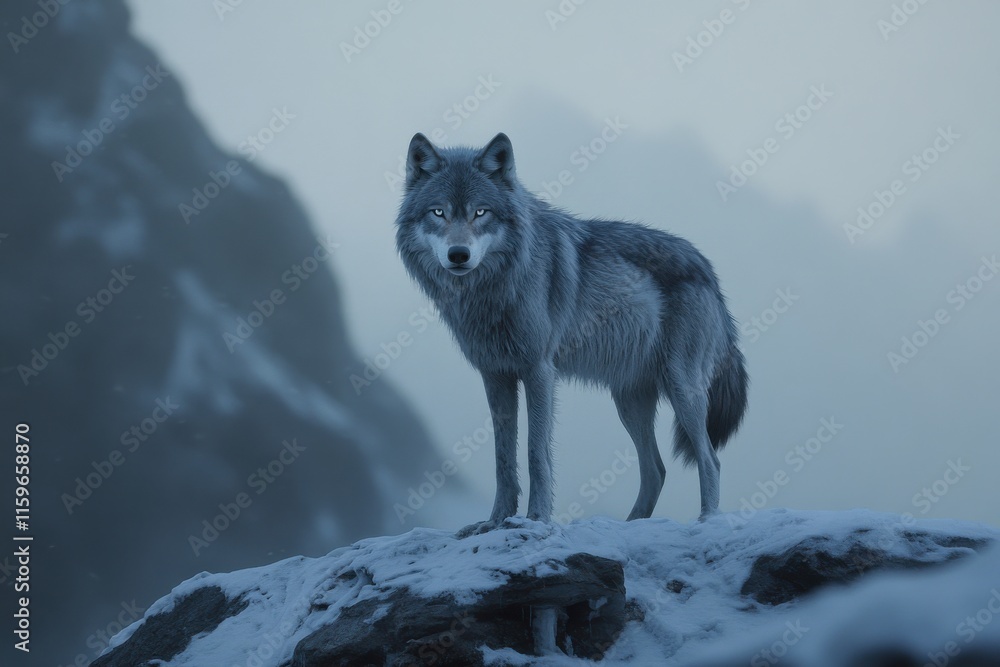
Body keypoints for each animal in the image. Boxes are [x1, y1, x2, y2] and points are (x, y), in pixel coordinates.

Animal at [395, 132, 748, 527]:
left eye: (480, 212)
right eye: (438, 212)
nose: (459, 254)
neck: (493, 290)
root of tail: (708, 271)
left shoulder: (539, 371)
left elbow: (536, 453)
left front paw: (536, 518)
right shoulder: (496, 376)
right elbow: (502, 459)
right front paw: (496, 522)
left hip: (681, 388)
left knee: (710, 460)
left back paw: (707, 521)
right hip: (629, 401)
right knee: (656, 470)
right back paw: (630, 526)